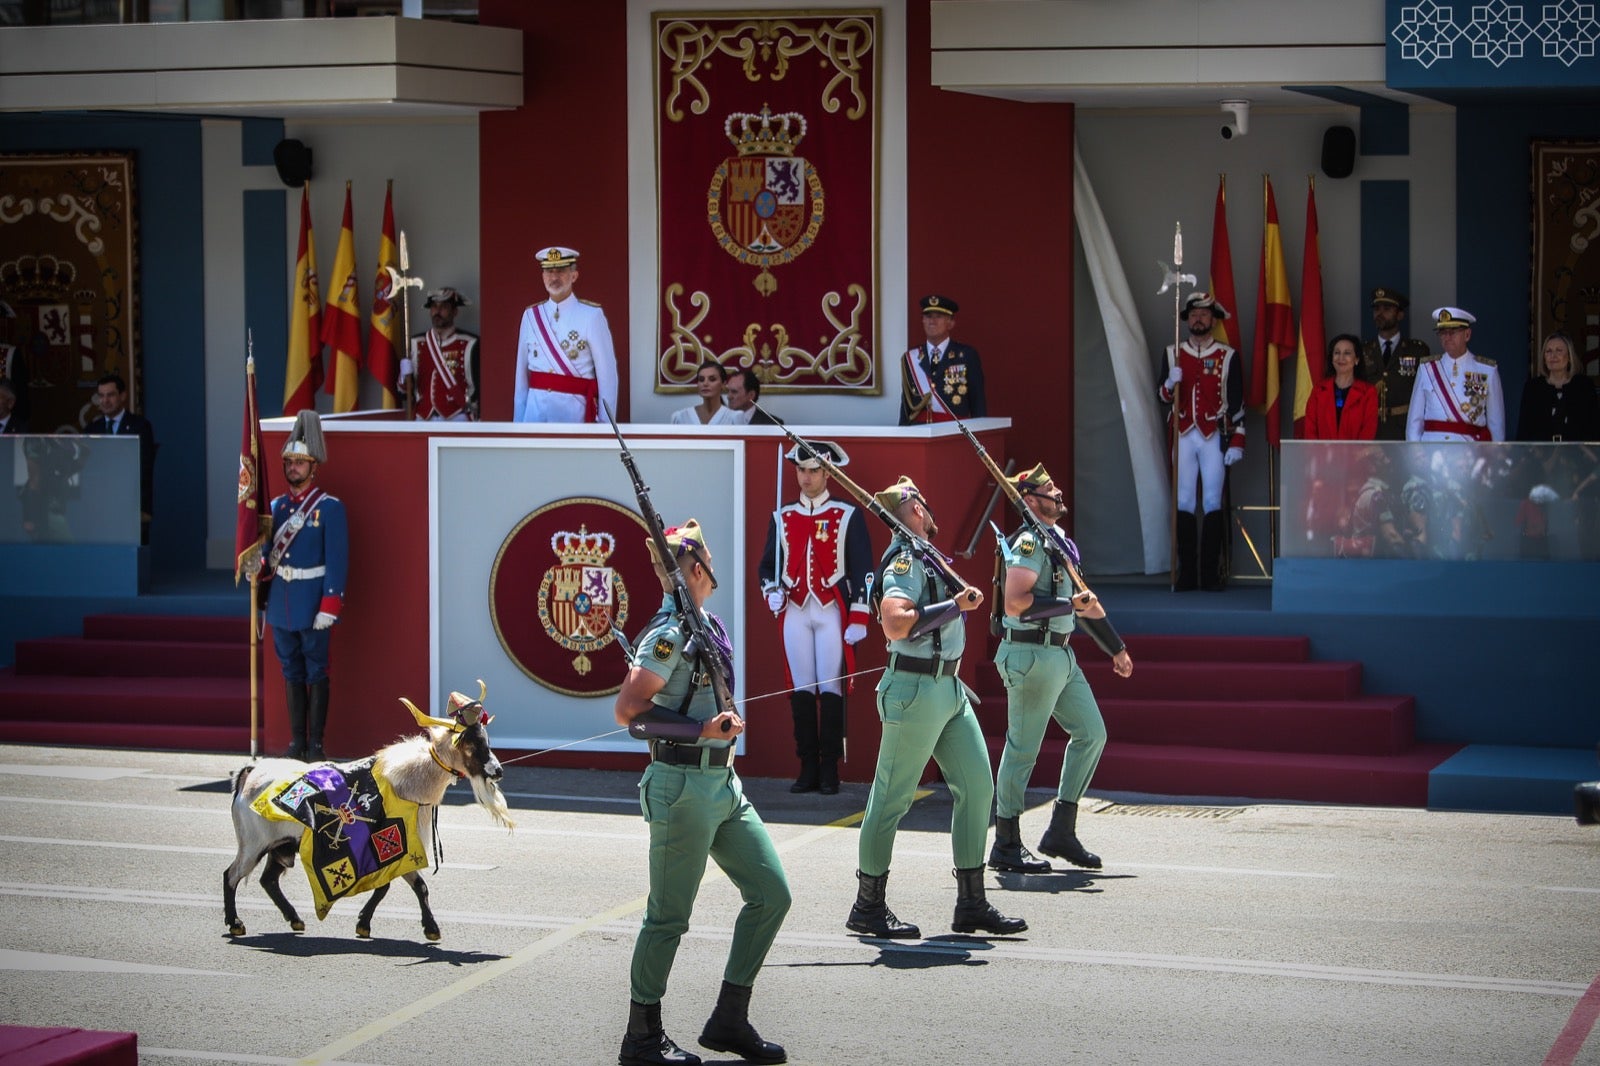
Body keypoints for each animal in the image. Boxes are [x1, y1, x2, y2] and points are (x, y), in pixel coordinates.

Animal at [222, 681, 512, 941]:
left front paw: (364, 924)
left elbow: (390, 887)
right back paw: (235, 923)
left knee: (268, 880)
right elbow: (414, 885)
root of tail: (249, 773)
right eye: (473, 744)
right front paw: (430, 928)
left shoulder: (392, 851)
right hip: (253, 844)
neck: (405, 781)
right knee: (232, 875)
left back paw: (294, 919)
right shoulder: (393, 846)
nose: (498, 771)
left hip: (280, 845)